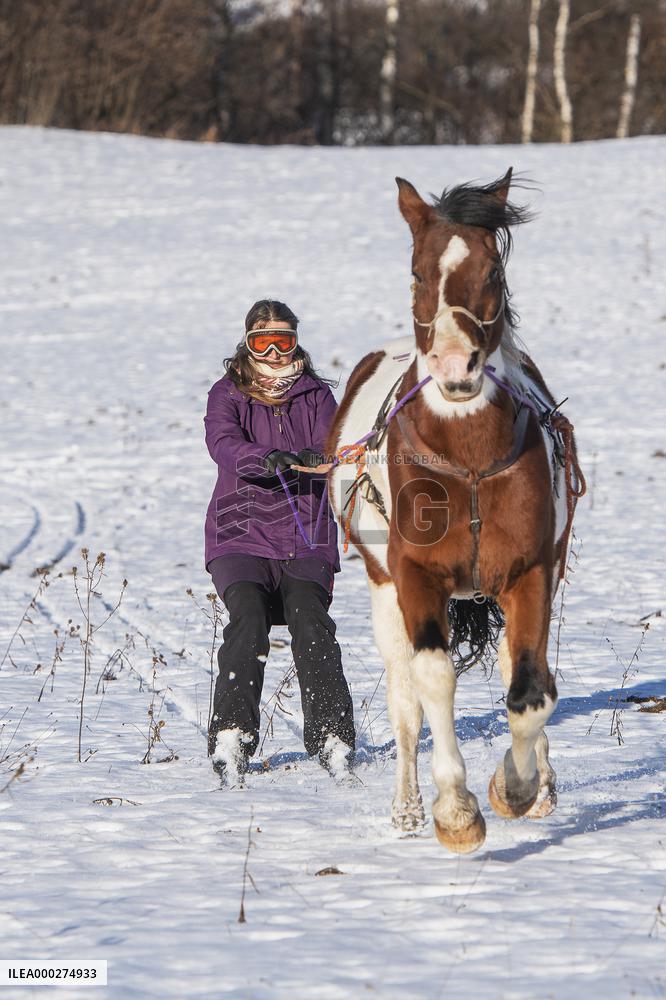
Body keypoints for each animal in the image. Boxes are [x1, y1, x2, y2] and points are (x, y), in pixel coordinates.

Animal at [327, 170, 584, 853]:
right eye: (417, 272)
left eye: (493, 269)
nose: (453, 364)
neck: (466, 459)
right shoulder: (415, 578)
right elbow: (433, 680)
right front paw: (456, 812)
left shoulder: (530, 571)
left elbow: (530, 691)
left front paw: (516, 788)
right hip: (383, 591)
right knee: (405, 699)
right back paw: (408, 809)